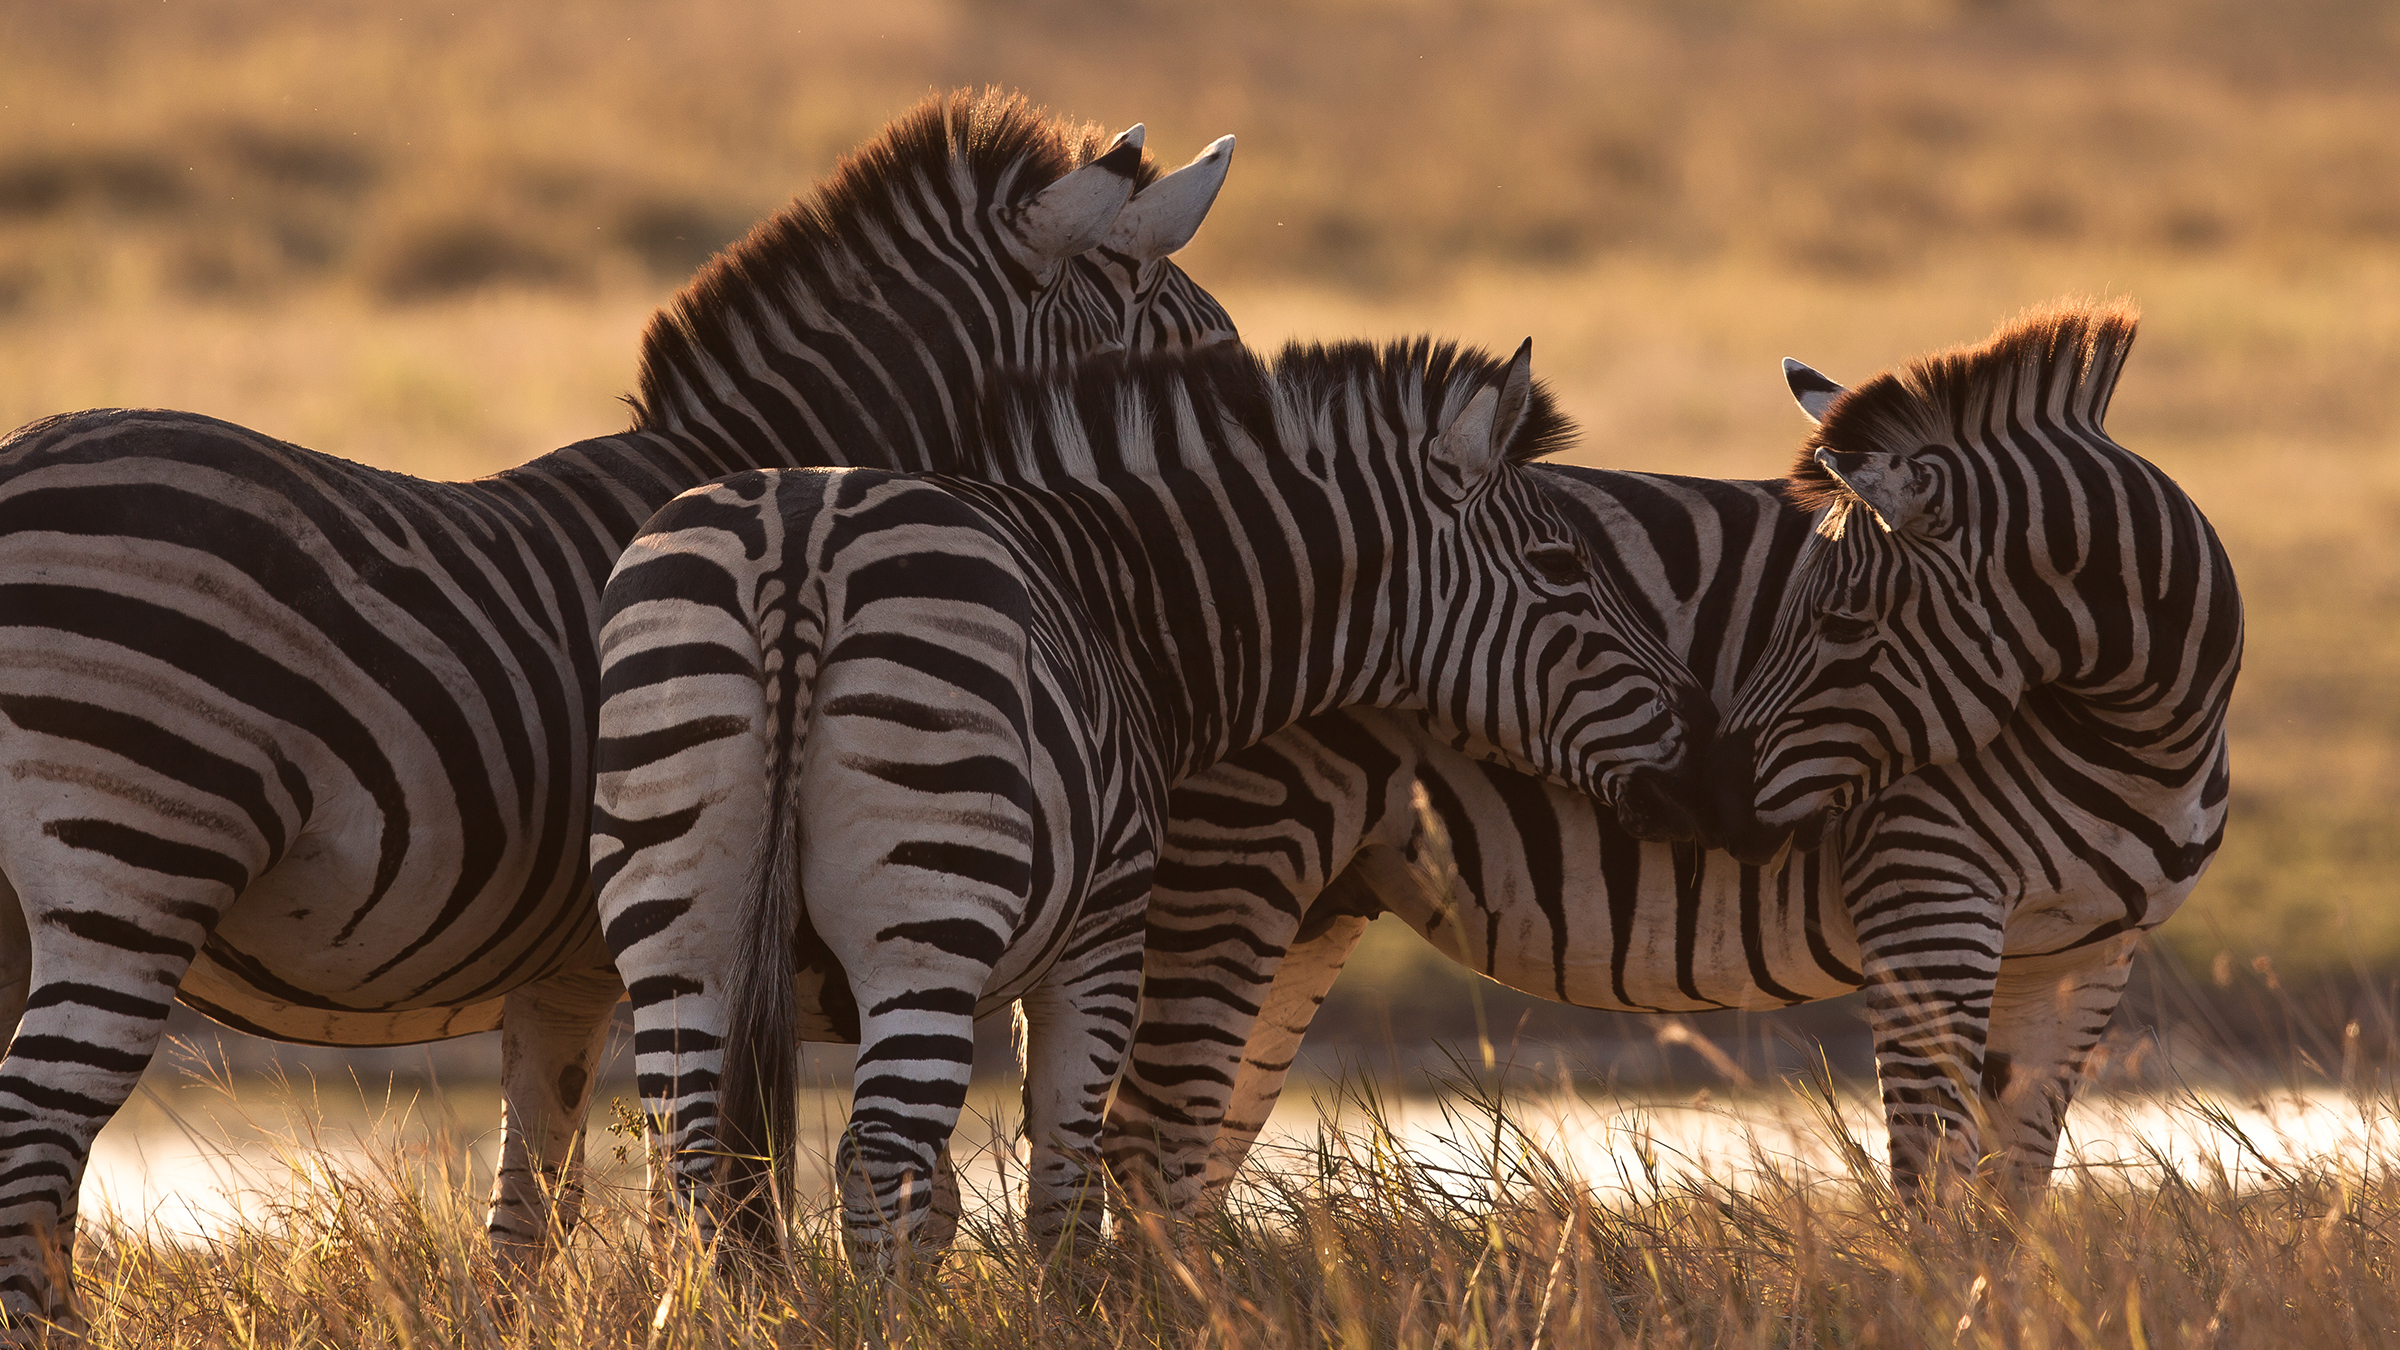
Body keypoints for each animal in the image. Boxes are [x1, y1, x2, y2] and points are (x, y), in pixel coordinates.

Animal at [0, 89, 1234, 1327]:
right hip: (138, 854)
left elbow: (544, 1194)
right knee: (37, 1128)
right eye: (1196, 359)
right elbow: (687, 1181)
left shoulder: (581, 965)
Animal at [589, 337, 1709, 1270]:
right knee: (878, 1164)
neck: (1122, 600)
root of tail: (798, 543)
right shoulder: (1104, 930)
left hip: (677, 922)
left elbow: (976, 1192)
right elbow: (1064, 1181)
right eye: (1563, 567)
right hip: (925, 925)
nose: (1700, 758)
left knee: (697, 1169)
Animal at [1103, 299, 2242, 1212]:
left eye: (1839, 623)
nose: (1719, 794)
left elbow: (2012, 1206)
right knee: (1151, 1143)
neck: (2142, 735)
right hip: (1236, 850)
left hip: (1314, 896)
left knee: (1196, 1145)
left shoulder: (2081, 960)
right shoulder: (1927, 899)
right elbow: (1931, 1194)